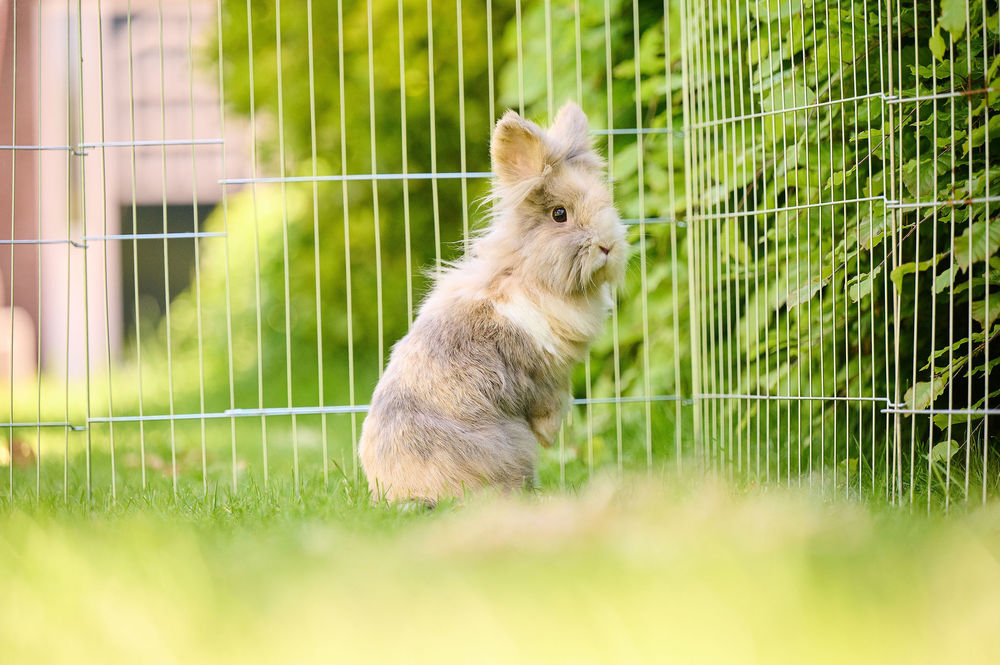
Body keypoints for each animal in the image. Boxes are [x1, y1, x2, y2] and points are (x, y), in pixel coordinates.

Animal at [358, 100, 624, 504]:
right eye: (559, 214)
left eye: (606, 202)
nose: (607, 246)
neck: (529, 276)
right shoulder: (542, 376)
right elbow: (548, 406)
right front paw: (551, 435)